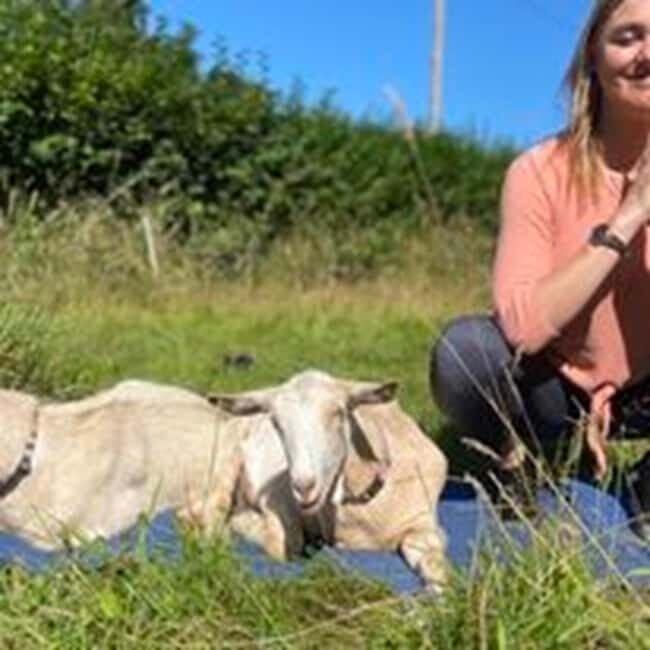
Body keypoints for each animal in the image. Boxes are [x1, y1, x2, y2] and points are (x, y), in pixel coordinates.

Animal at [210, 369, 448, 590]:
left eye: (339, 413)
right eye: (276, 423)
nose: (304, 487)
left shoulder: (423, 524)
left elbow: (435, 563)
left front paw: (438, 592)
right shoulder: (278, 497)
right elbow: (283, 543)